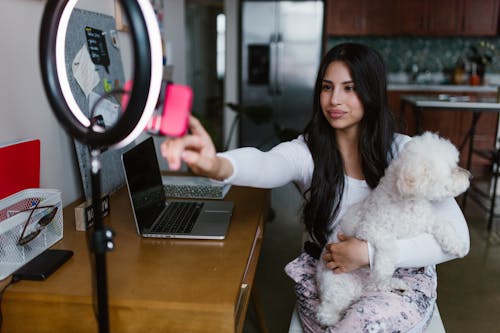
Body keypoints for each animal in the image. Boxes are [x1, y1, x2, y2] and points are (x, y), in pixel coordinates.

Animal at [316, 131, 468, 326]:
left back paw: (396, 285)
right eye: (452, 169)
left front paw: (458, 245)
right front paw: (383, 267)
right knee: (327, 308)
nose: (469, 175)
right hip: (340, 287)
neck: (407, 201)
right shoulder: (370, 229)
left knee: (377, 285)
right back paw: (329, 317)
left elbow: (445, 226)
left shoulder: (428, 220)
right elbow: (389, 246)